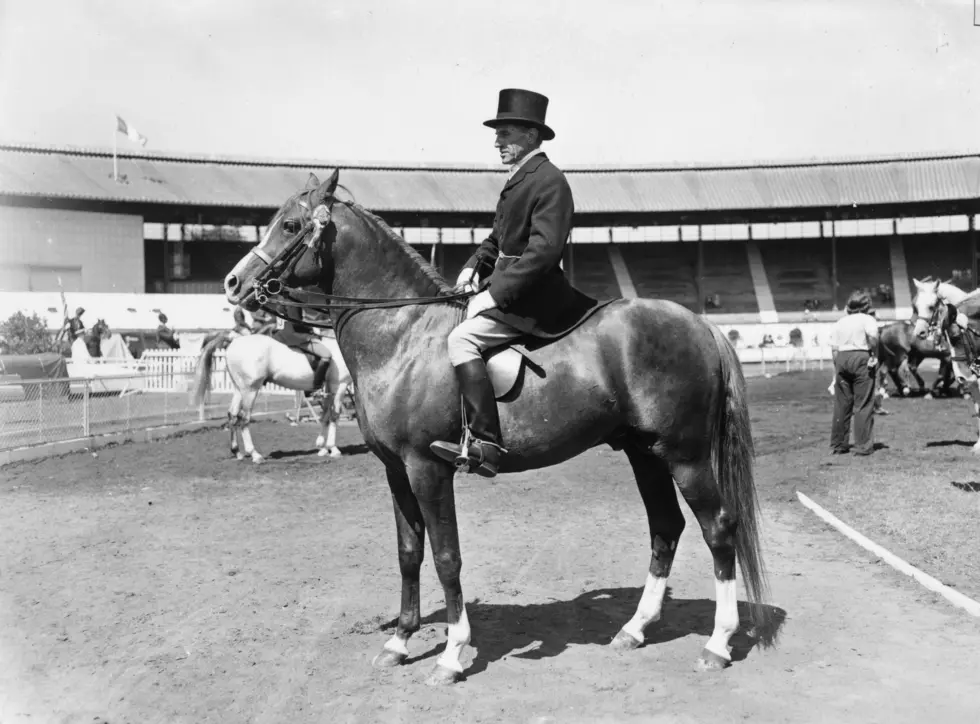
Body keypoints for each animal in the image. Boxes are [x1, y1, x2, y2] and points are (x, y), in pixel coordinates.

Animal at [188, 330, 352, 460]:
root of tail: (235, 340)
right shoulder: (340, 385)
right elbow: (334, 415)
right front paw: (333, 449)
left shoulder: (330, 388)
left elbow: (325, 415)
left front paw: (323, 448)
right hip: (250, 390)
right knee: (244, 418)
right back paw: (254, 454)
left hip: (239, 389)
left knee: (233, 415)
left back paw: (237, 452)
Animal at [222, 173, 772, 688]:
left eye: (290, 226)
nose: (232, 283)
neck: (402, 336)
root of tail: (700, 324)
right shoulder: (396, 471)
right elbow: (408, 552)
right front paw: (399, 642)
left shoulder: (427, 468)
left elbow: (446, 556)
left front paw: (450, 655)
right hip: (645, 453)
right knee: (666, 528)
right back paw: (633, 630)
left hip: (685, 455)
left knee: (718, 527)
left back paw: (718, 644)